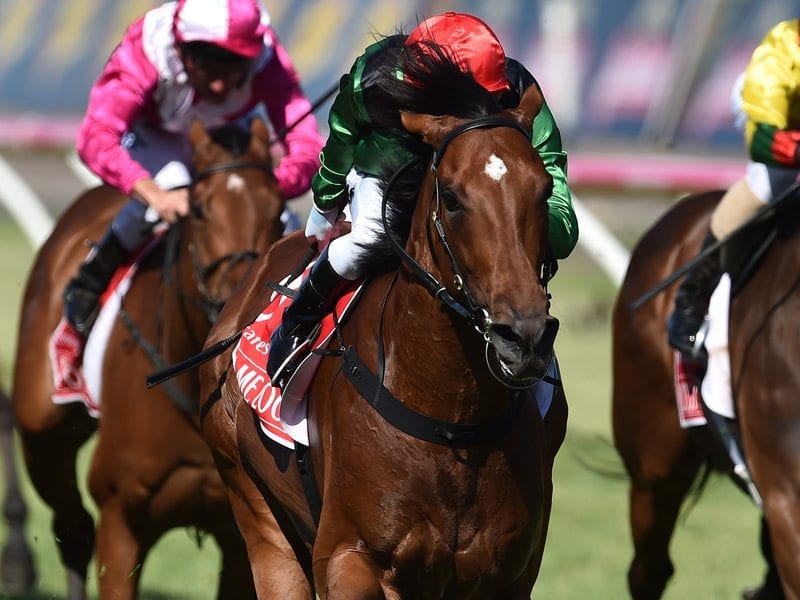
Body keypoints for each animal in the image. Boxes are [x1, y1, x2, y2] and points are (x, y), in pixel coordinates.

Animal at [10, 118, 282, 600]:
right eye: (199, 210)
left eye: (278, 208)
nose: (241, 300)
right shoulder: (122, 520)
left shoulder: (242, 535)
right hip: (42, 432)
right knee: (73, 527)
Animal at [197, 82, 564, 596]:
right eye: (452, 198)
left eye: (545, 189)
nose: (524, 337)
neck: (451, 416)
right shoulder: (348, 556)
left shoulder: (506, 573)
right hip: (255, 508)